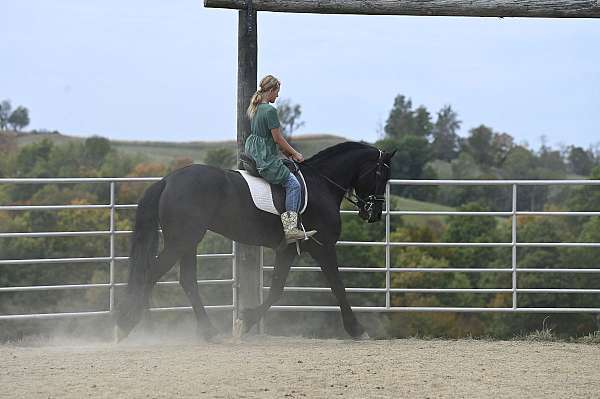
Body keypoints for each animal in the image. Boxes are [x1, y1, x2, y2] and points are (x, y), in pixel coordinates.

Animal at [117, 141, 396, 340]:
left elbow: (276, 289)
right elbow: (338, 286)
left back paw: (208, 331)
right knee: (152, 273)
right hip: (181, 241)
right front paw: (357, 329)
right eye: (381, 175)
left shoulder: (288, 251)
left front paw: (246, 321)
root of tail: (167, 180)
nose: (374, 213)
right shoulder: (324, 247)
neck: (321, 185)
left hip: (188, 242)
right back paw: (126, 325)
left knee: (187, 281)